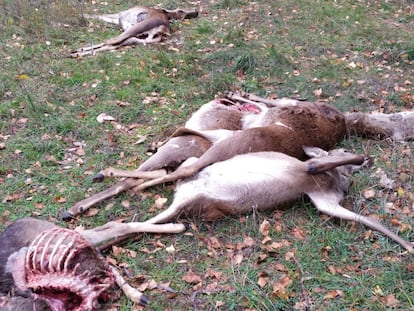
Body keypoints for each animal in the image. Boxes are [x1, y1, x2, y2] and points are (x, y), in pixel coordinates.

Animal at [70, 6, 198, 57]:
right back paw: (77, 52)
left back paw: (77, 52)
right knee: (116, 44)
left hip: (134, 29)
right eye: (181, 11)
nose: (196, 12)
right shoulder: (120, 19)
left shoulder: (120, 15)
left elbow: (99, 16)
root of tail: (163, 30)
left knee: (111, 41)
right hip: (136, 37)